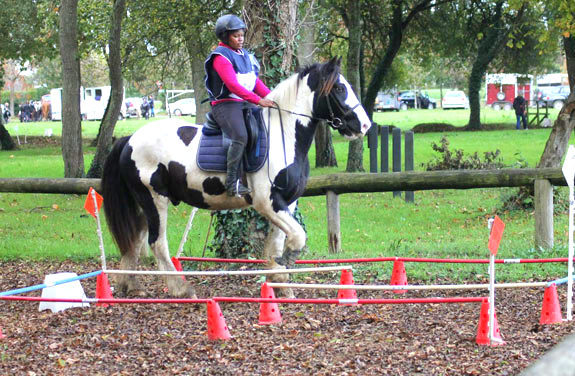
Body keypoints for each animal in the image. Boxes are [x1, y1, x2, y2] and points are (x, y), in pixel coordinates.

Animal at [100, 57, 372, 298]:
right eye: (339, 88)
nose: (364, 126)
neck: (282, 134)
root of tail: (129, 140)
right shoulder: (267, 201)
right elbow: (296, 238)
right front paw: (283, 270)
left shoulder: (286, 202)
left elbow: (277, 243)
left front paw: (280, 283)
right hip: (155, 199)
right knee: (157, 243)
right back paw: (181, 289)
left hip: (143, 203)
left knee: (136, 240)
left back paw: (130, 285)